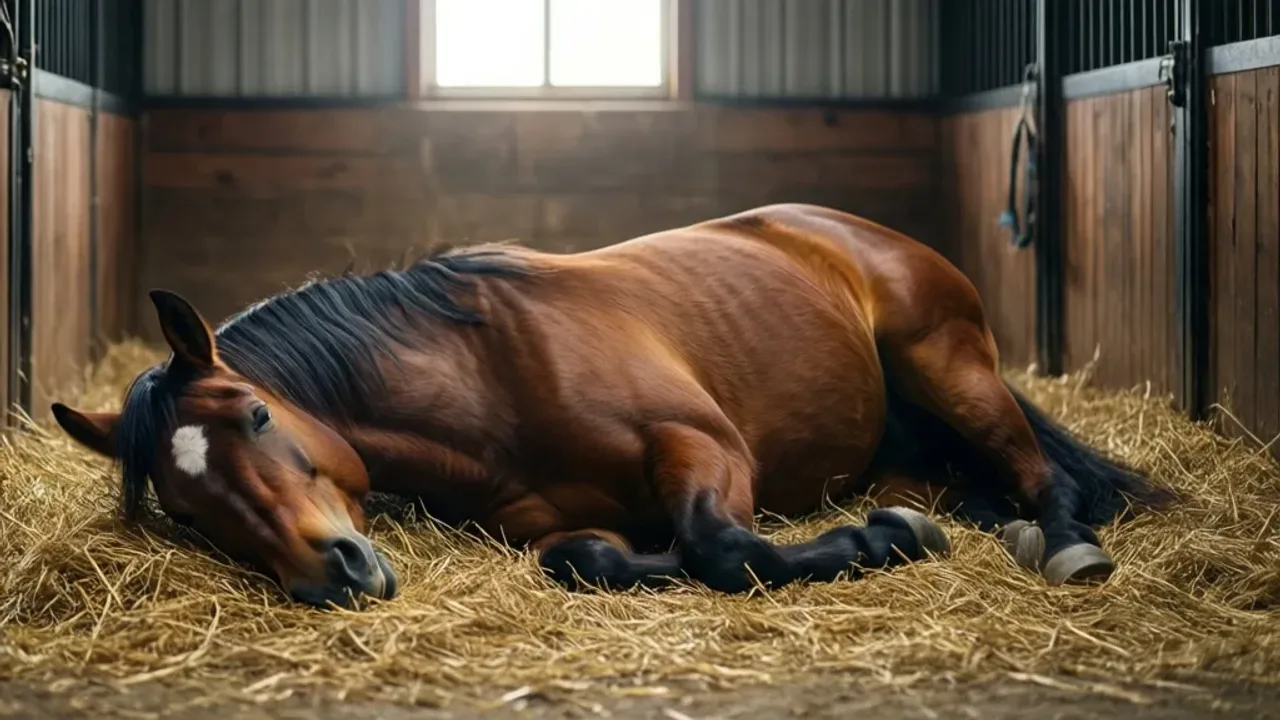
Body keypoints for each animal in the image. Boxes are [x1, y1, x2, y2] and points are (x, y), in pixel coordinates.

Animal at [51, 203, 1176, 609]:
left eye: (255, 416)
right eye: (186, 511)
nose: (331, 575)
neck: (490, 380)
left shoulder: (703, 446)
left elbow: (725, 547)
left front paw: (876, 542)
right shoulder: (549, 530)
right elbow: (589, 561)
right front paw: (882, 533)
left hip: (950, 364)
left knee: (1035, 470)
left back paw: (1060, 542)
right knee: (962, 479)